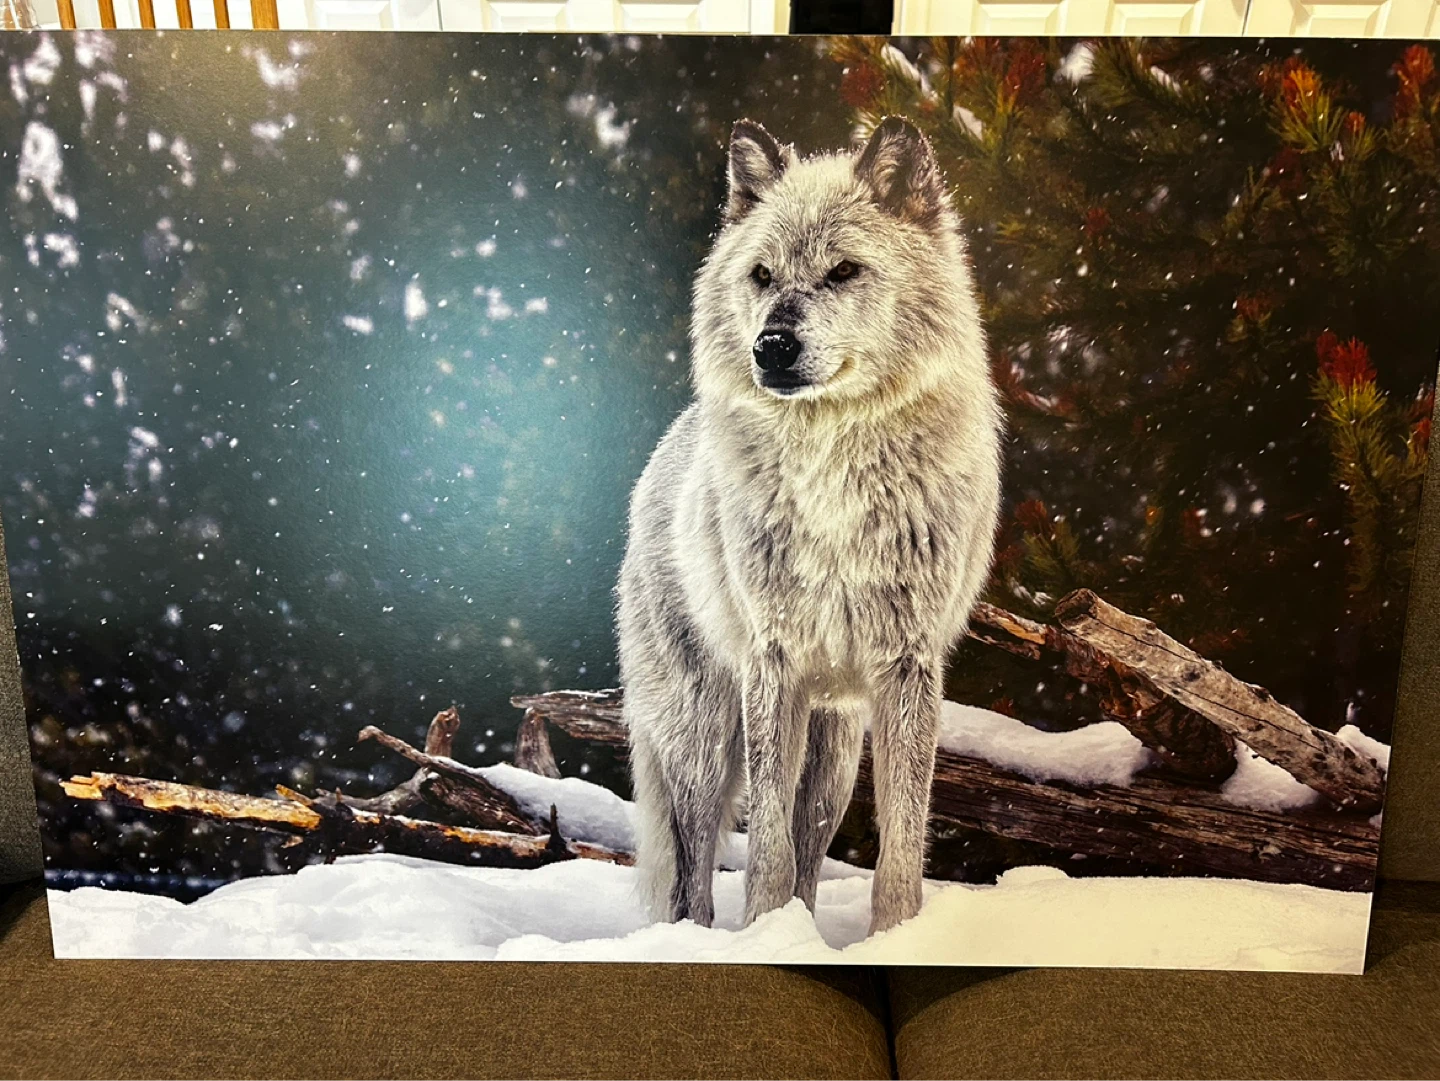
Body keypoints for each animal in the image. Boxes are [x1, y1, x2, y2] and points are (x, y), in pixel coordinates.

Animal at [617, 116, 1003, 936]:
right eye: (762, 275)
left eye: (844, 270)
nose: (772, 345)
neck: (835, 465)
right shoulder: (775, 662)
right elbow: (763, 846)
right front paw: (764, 934)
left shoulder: (906, 667)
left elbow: (900, 843)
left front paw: (896, 938)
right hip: (702, 735)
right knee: (694, 867)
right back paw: (698, 938)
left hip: (836, 747)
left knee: (811, 839)